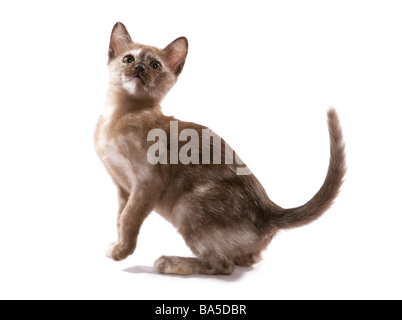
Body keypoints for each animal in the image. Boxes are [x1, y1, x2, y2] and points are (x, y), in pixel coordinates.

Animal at [93, 22, 346, 276]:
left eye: (155, 65)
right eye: (128, 59)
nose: (139, 68)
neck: (119, 114)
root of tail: (269, 210)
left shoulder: (147, 182)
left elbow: (129, 219)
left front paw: (121, 251)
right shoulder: (122, 187)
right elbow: (120, 218)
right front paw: (117, 246)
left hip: (188, 206)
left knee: (221, 265)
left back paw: (171, 263)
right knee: (247, 259)